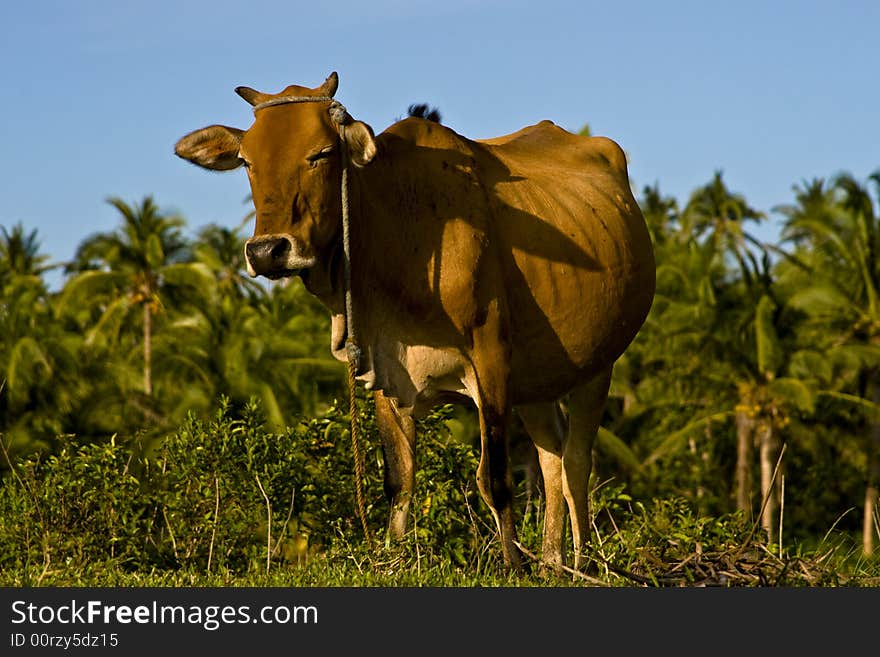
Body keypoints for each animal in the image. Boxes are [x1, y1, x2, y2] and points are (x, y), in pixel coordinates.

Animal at [175, 69, 652, 568]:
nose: (268, 251)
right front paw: (396, 558)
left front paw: (512, 566)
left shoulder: (491, 358)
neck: (398, 231)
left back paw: (580, 563)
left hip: (598, 365)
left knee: (577, 462)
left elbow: (495, 480)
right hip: (537, 381)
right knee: (551, 458)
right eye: (247, 161)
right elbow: (399, 480)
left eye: (321, 153)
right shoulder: (385, 369)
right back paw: (552, 561)